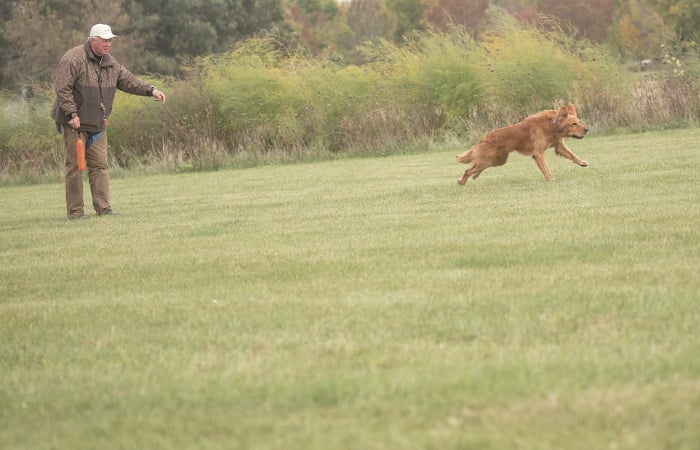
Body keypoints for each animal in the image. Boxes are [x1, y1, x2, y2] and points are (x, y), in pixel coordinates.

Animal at [456, 103, 589, 184]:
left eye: (579, 122)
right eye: (573, 124)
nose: (587, 129)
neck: (551, 125)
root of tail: (484, 138)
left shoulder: (559, 146)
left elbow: (572, 155)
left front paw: (582, 162)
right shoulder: (538, 153)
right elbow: (545, 168)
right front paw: (550, 179)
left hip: (497, 160)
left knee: (475, 168)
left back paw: (474, 176)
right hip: (490, 159)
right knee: (468, 169)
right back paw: (461, 182)